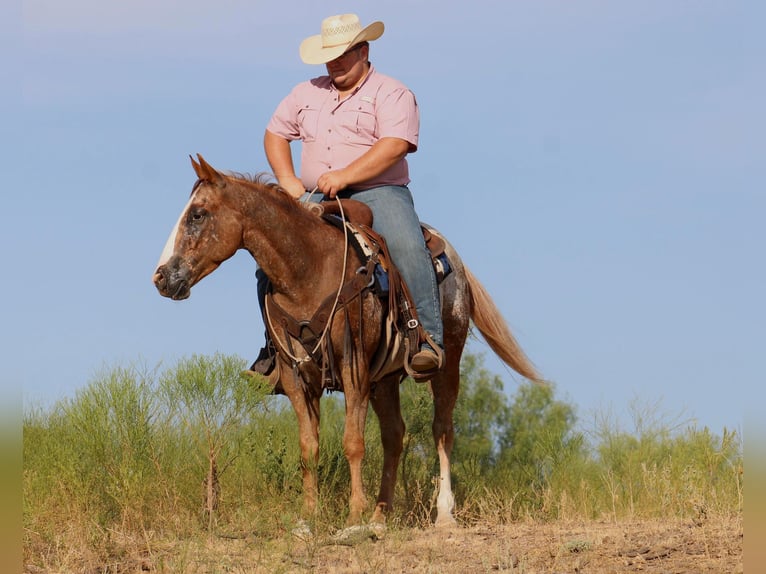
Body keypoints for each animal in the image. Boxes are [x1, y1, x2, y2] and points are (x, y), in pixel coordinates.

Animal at [154, 154, 540, 532]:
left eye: (197, 214)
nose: (161, 277)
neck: (308, 270)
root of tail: (453, 259)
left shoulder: (353, 367)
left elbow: (353, 443)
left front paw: (354, 514)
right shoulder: (296, 376)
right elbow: (309, 448)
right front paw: (309, 516)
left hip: (449, 360)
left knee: (442, 430)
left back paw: (443, 514)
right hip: (384, 380)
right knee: (394, 436)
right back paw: (380, 515)